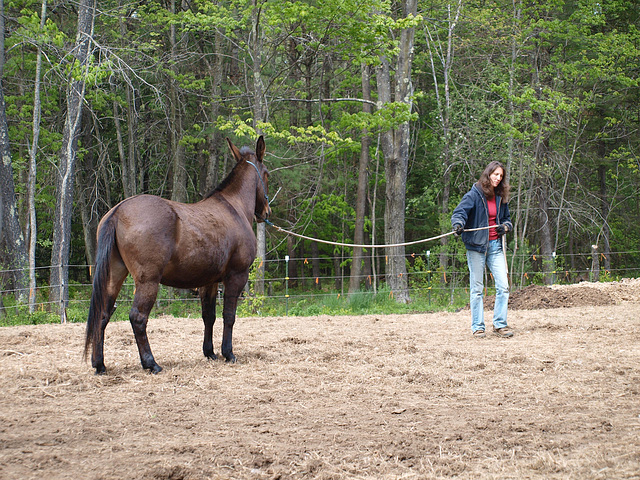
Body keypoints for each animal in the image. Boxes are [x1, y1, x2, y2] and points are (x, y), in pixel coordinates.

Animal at [84, 135, 270, 376]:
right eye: (266, 174)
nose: (265, 212)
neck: (233, 209)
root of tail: (118, 211)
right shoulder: (236, 276)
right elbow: (229, 316)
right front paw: (228, 353)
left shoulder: (209, 282)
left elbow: (209, 316)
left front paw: (210, 352)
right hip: (148, 281)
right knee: (138, 318)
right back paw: (151, 363)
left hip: (113, 277)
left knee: (103, 316)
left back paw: (99, 364)